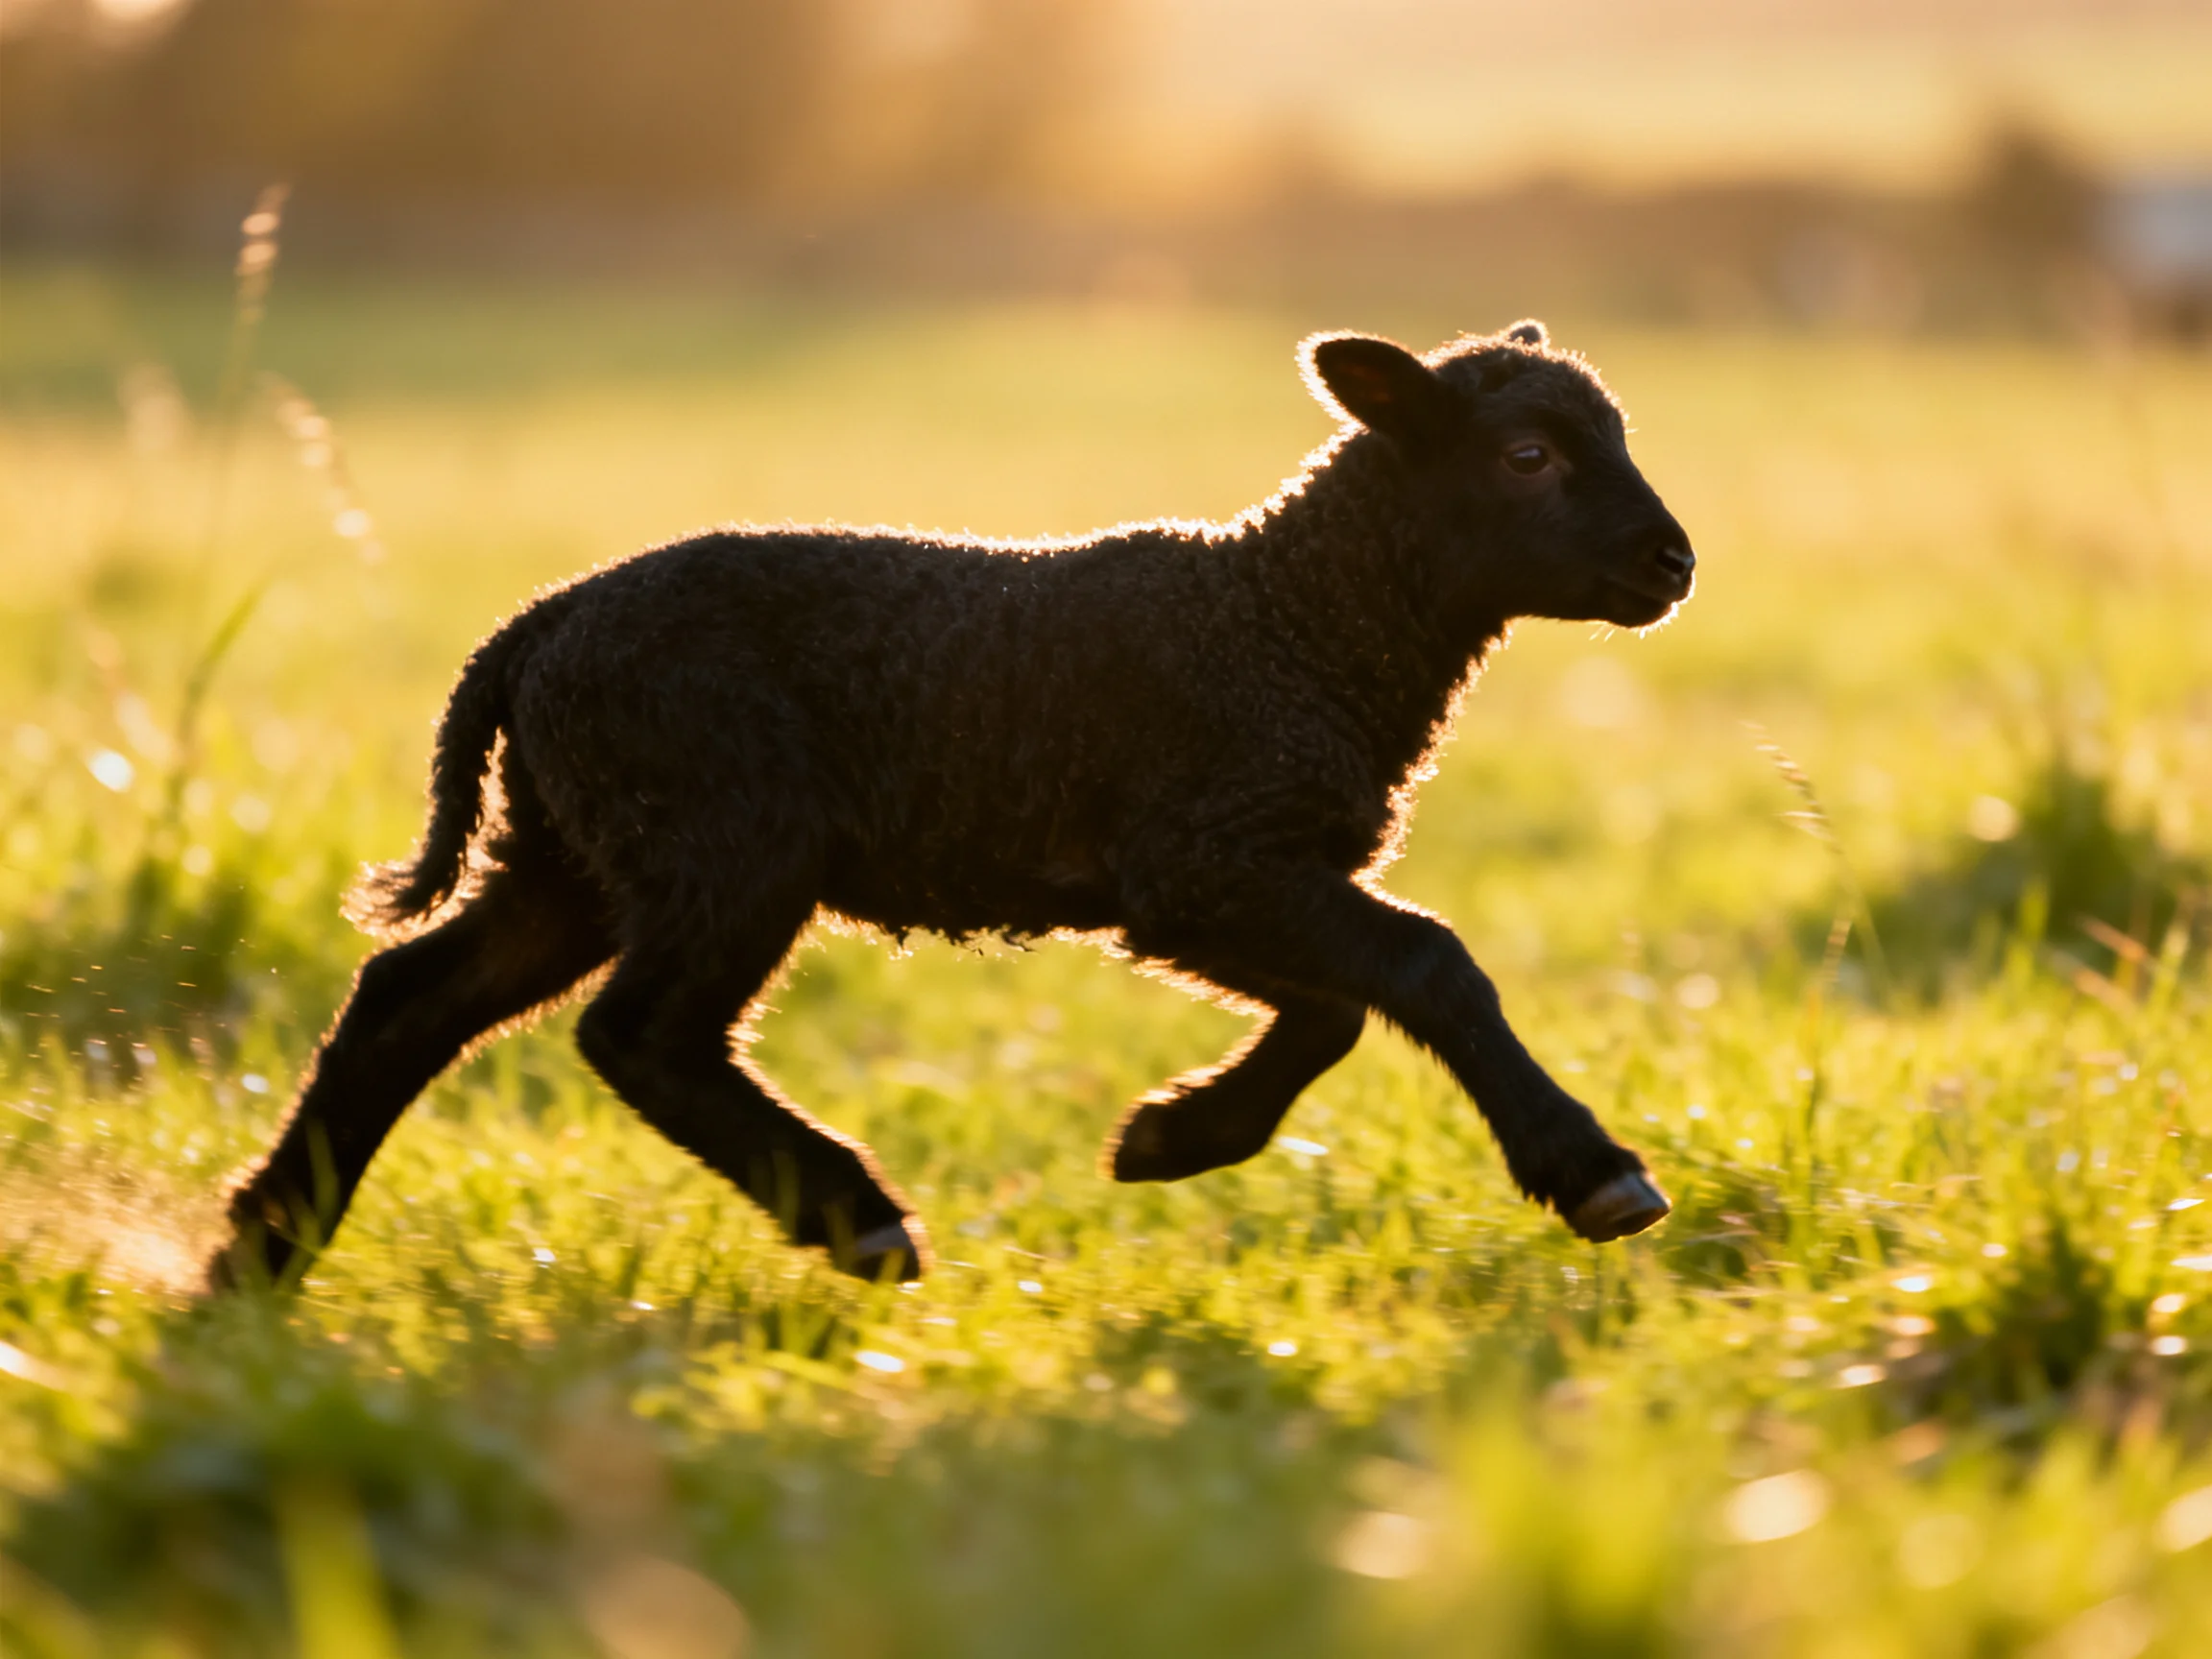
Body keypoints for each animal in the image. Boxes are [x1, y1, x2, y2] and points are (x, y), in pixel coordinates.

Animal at [205, 318, 1695, 1292]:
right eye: (1526, 456)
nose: (1672, 563)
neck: (1298, 619)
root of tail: (534, 632)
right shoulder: (1203, 855)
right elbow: (1425, 964)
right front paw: (1593, 1174)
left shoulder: (1193, 886)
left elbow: (1334, 1008)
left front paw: (1173, 1138)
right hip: (725, 831)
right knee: (637, 1036)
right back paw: (854, 1220)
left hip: (576, 848)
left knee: (411, 998)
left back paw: (259, 1255)